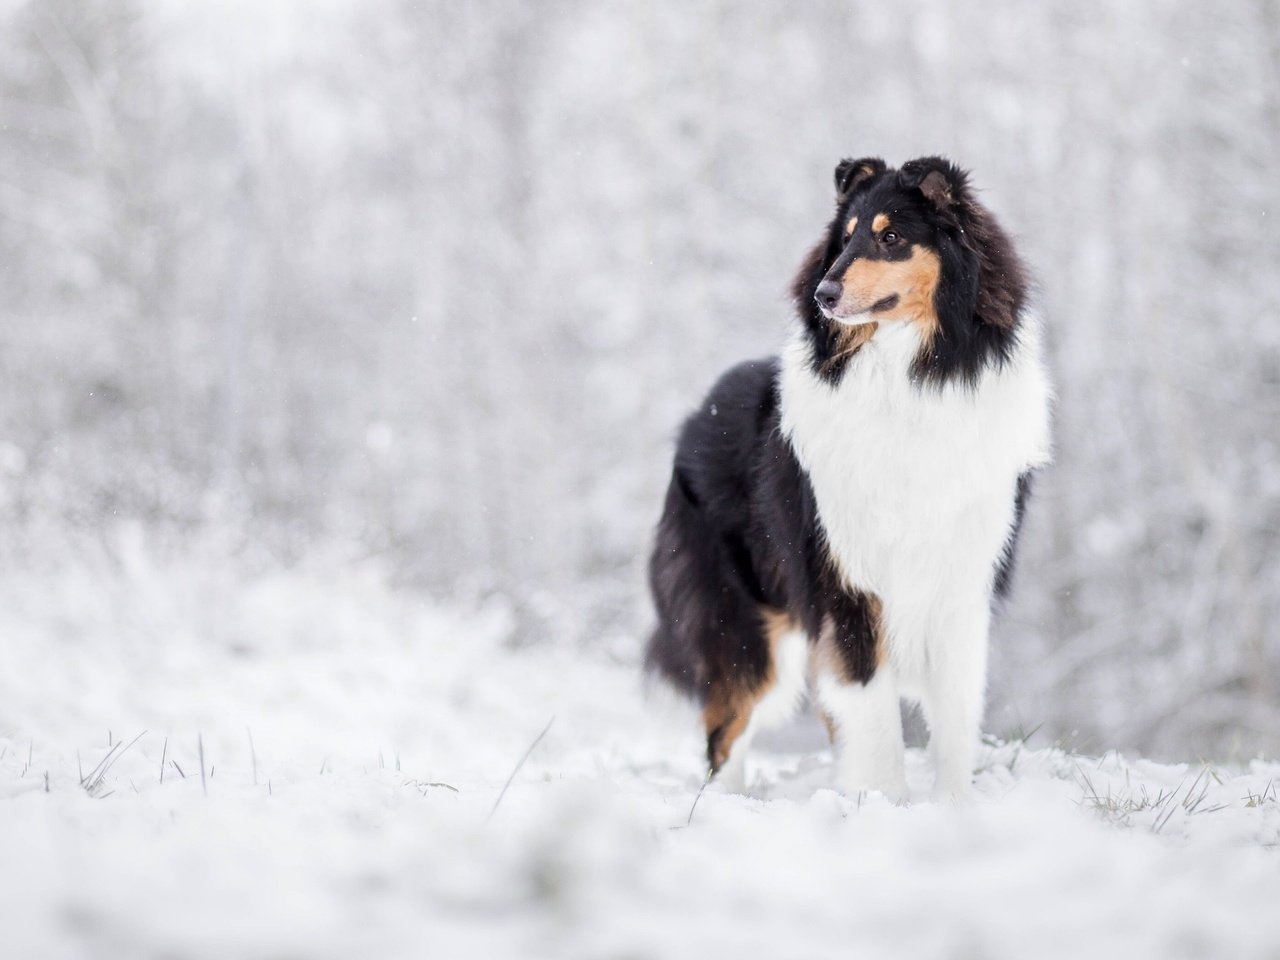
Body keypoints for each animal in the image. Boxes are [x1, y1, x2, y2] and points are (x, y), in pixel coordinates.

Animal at [645, 158, 1054, 803]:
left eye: (892, 237)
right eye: (845, 239)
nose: (823, 294)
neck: (909, 378)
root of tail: (695, 415)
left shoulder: (962, 579)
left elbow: (955, 714)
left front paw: (953, 807)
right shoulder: (847, 582)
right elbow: (873, 712)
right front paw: (884, 804)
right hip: (743, 625)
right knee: (726, 729)